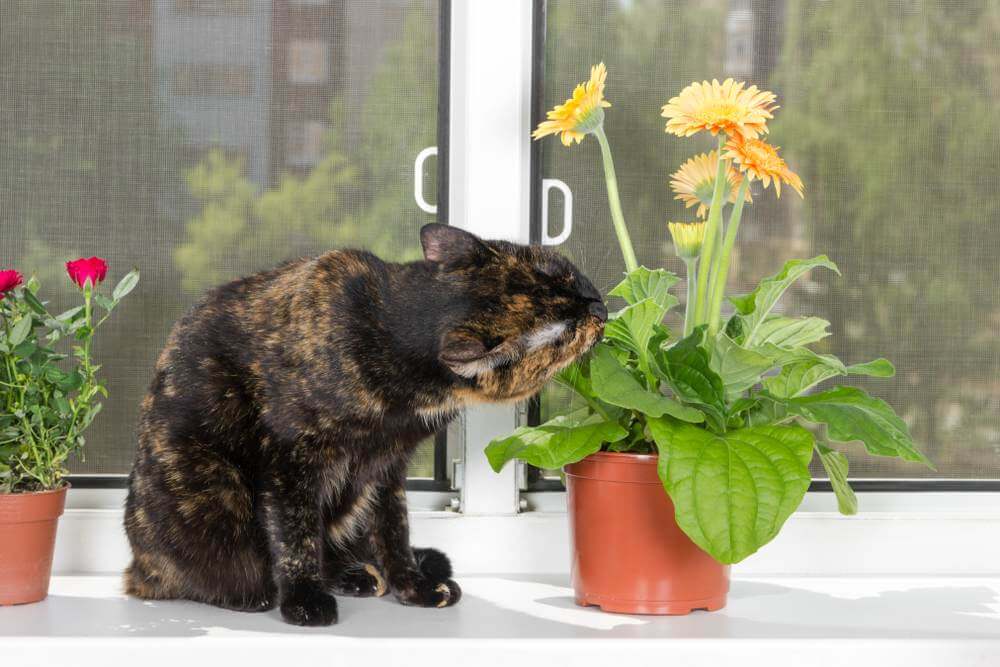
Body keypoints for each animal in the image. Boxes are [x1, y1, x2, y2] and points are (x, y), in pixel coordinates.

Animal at [125, 224, 608, 628]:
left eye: (562, 273)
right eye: (563, 334)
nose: (599, 306)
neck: (387, 333)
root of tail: (137, 566)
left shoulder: (386, 466)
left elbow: (394, 532)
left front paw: (412, 585)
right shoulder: (289, 459)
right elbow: (295, 534)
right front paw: (303, 599)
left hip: (349, 493)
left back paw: (355, 575)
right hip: (213, 482)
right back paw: (252, 593)